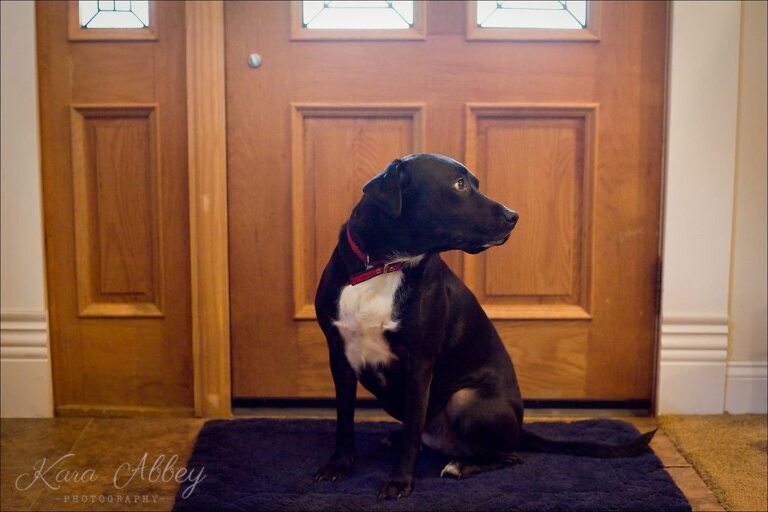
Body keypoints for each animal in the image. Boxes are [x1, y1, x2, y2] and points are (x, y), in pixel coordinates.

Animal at [312, 154, 656, 498]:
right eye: (459, 184)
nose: (514, 216)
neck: (384, 267)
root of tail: (519, 429)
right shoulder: (339, 357)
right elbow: (344, 420)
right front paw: (339, 465)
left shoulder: (419, 363)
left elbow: (411, 433)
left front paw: (400, 481)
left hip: (465, 401)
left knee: (507, 455)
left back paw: (461, 466)